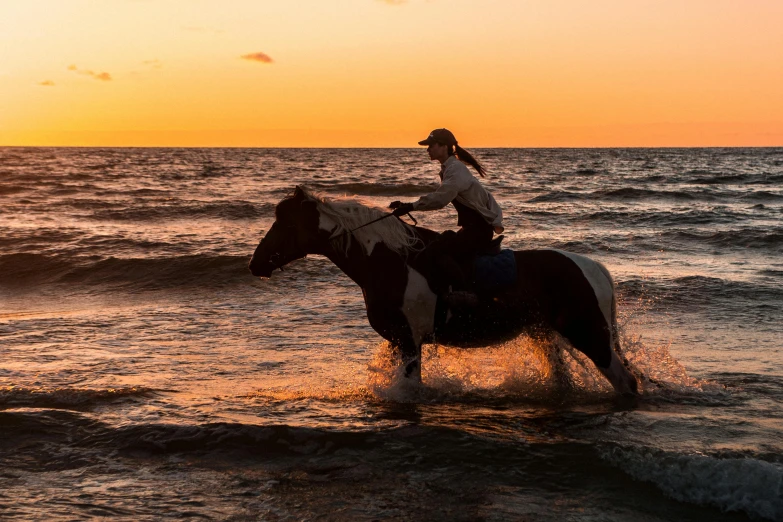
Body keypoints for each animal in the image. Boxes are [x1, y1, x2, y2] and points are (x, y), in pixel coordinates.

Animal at [248, 187, 640, 394]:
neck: (391, 263)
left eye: (285, 224)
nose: (255, 263)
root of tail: (594, 269)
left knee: (626, 381)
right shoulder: (398, 341)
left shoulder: (409, 340)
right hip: (545, 334)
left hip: (590, 334)